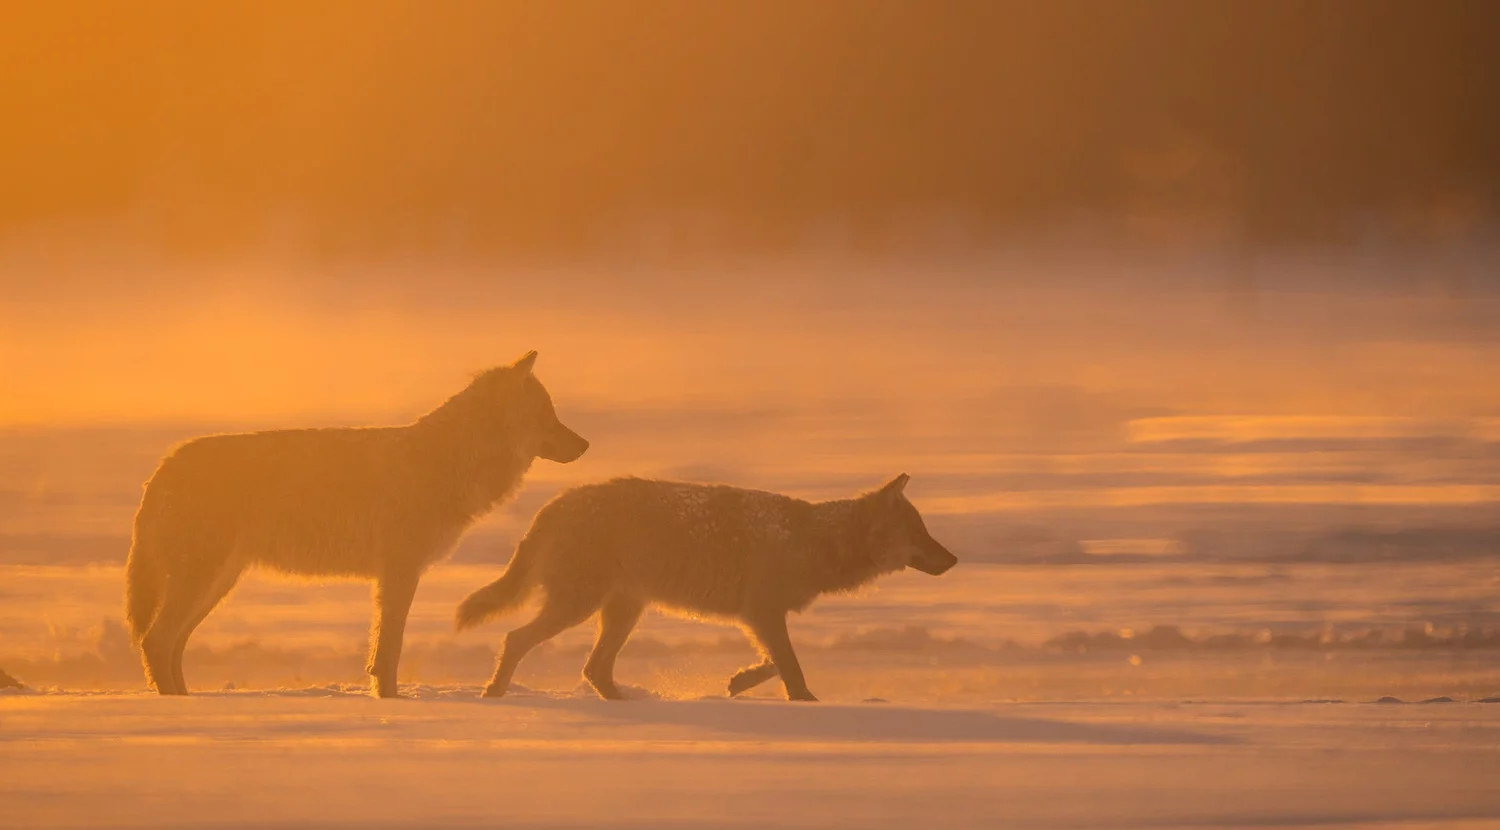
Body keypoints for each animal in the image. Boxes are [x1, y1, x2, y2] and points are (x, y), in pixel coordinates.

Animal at [124, 352, 585, 696]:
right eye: (548, 414)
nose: (585, 444)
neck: (447, 462)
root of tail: (164, 465)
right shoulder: (400, 571)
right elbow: (390, 652)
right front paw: (392, 702)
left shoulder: (393, 575)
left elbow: (382, 653)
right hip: (203, 580)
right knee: (156, 641)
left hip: (217, 584)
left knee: (171, 645)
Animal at [453, 471, 960, 699]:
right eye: (920, 532)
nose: (955, 559)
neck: (815, 540)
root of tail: (553, 504)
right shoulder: (763, 614)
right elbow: (791, 669)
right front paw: (809, 705)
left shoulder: (760, 618)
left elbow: (773, 664)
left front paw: (739, 683)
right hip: (580, 608)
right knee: (516, 640)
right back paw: (493, 696)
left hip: (622, 612)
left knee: (593, 669)